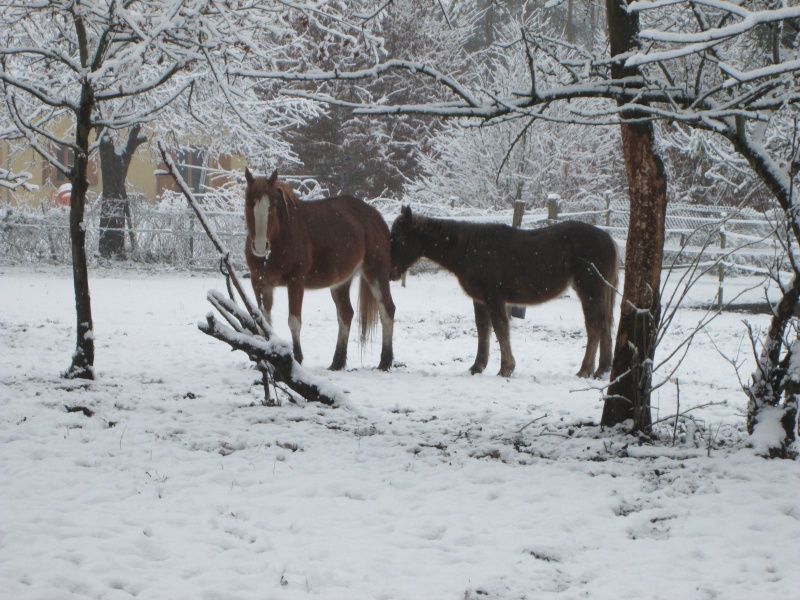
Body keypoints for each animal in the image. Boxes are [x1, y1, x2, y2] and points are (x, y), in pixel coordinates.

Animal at [244, 169, 394, 370]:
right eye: (248, 201)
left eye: (272, 205)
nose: (260, 246)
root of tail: (376, 217)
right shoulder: (260, 282)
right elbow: (263, 320)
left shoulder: (296, 281)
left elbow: (294, 321)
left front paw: (297, 357)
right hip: (341, 282)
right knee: (346, 314)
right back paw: (337, 362)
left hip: (376, 273)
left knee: (387, 311)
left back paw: (385, 361)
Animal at [388, 206, 620, 376]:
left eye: (398, 238)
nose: (390, 273)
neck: (471, 250)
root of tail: (608, 239)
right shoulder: (480, 300)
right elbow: (483, 330)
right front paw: (477, 366)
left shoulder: (494, 298)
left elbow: (500, 329)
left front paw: (506, 368)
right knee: (606, 325)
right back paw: (602, 369)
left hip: (590, 291)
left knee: (595, 326)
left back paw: (585, 370)